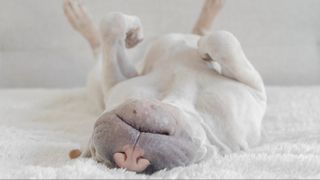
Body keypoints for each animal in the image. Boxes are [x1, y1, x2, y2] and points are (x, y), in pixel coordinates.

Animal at [63, 0, 266, 174]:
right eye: (95, 155)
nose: (130, 156)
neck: (175, 99)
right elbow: (222, 39)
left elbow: (113, 21)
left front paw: (133, 33)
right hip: (95, 83)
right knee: (98, 50)